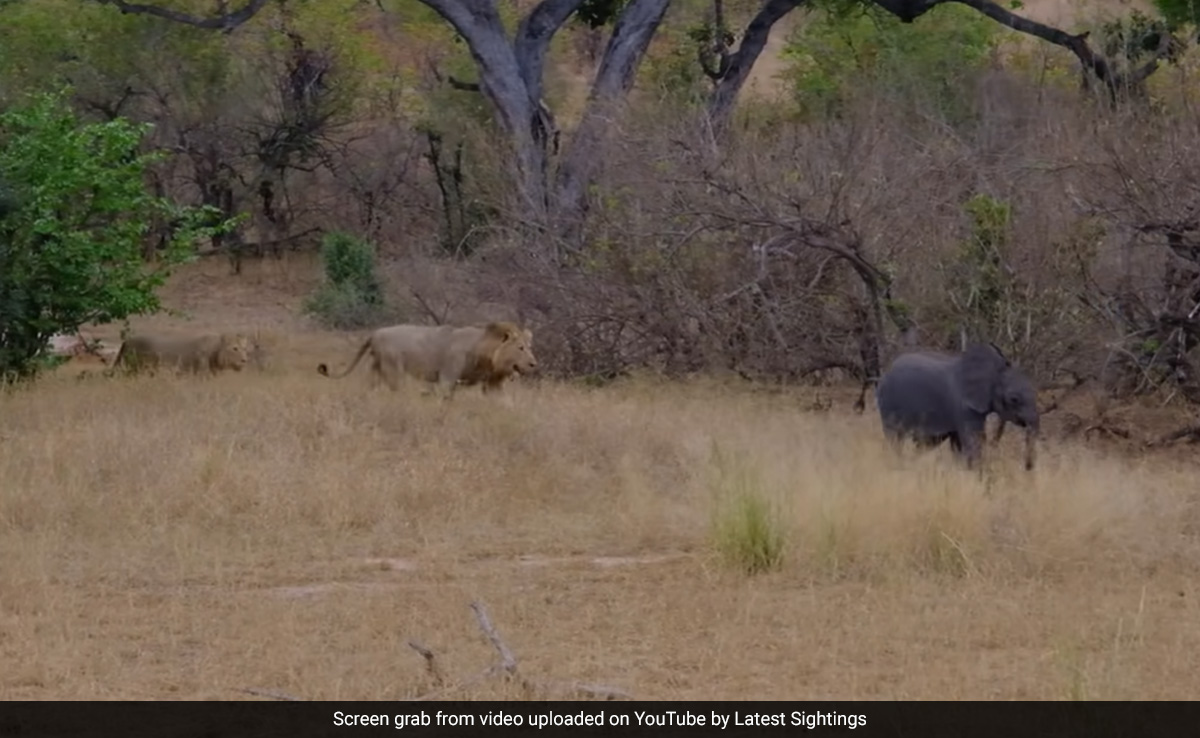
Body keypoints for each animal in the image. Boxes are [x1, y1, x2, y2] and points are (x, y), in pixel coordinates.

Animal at [317, 321, 538, 398]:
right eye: (520, 348)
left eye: (530, 347)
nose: (534, 364)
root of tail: (375, 333)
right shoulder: (447, 379)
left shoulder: (492, 384)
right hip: (394, 371)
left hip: (376, 370)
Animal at [875, 342, 1040, 470]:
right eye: (1014, 399)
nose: (1027, 467)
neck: (993, 370)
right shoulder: (964, 406)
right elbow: (973, 443)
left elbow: (959, 446)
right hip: (889, 404)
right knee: (895, 438)